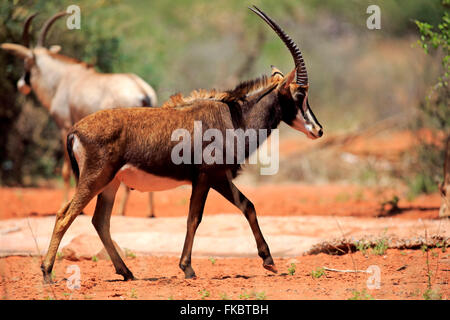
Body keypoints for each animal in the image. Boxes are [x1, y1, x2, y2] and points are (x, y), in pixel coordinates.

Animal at [0, 12, 158, 218]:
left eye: (26, 62)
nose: (21, 85)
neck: (61, 79)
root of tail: (143, 91)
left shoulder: (65, 127)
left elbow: (68, 169)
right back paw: (148, 212)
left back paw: (122, 211)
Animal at [38, 6, 322, 282]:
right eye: (300, 93)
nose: (318, 130)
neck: (234, 117)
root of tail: (75, 131)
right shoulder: (207, 177)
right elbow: (194, 218)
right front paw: (187, 267)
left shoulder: (218, 178)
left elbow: (248, 206)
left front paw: (269, 261)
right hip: (95, 178)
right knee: (65, 214)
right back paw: (47, 272)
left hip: (111, 183)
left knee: (100, 221)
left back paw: (126, 272)